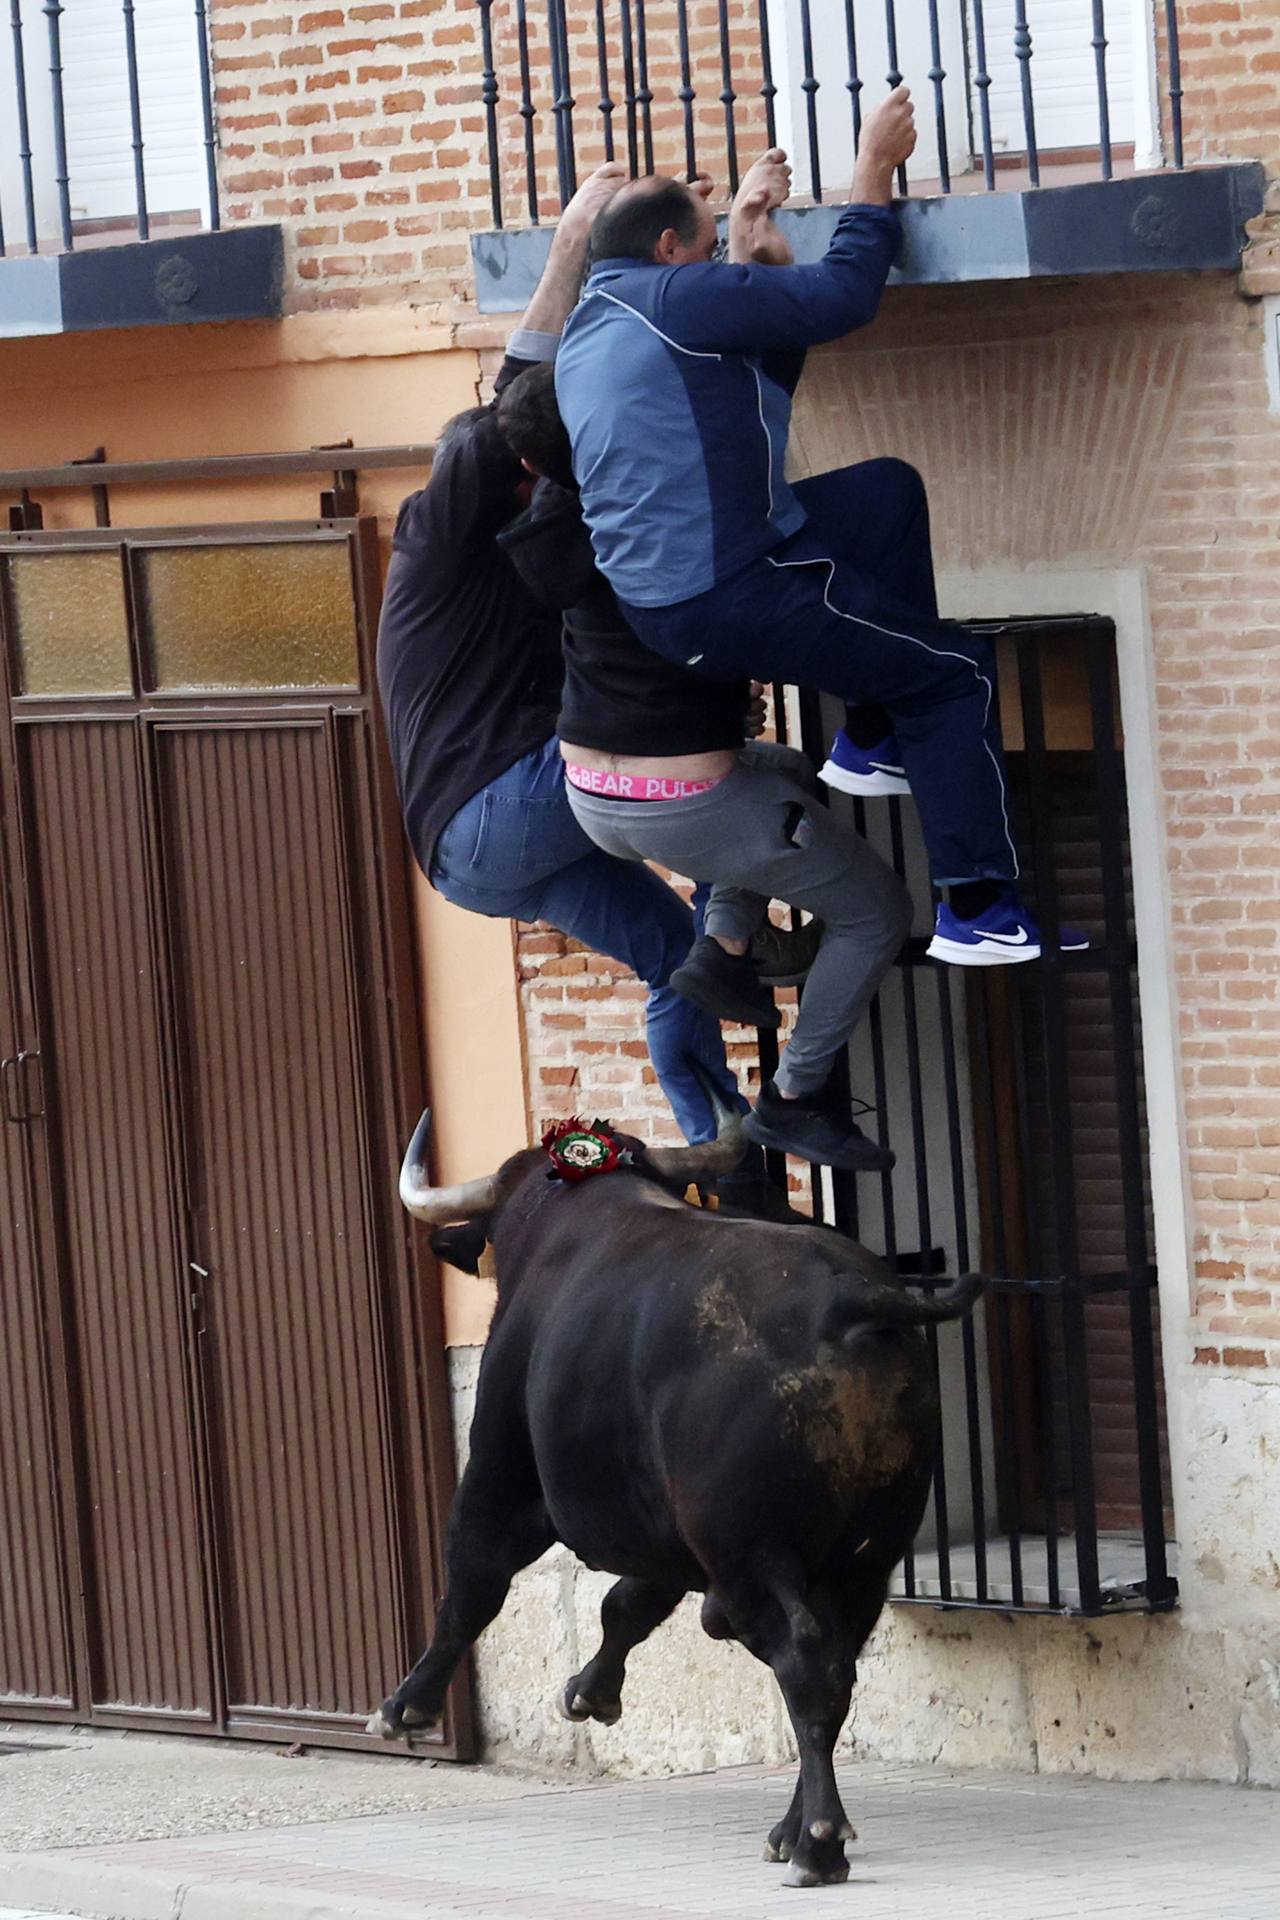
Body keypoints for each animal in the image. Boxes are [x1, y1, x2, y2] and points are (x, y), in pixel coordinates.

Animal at [370, 1105, 982, 1881]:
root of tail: (852, 1300)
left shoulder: (498, 1480)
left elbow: (472, 1588)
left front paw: (405, 1706)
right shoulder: (665, 1531)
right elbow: (627, 1602)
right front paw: (590, 1691)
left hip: (752, 1558)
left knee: (806, 1664)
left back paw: (816, 1841)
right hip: (863, 1562)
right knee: (837, 1669)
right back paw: (793, 1829)